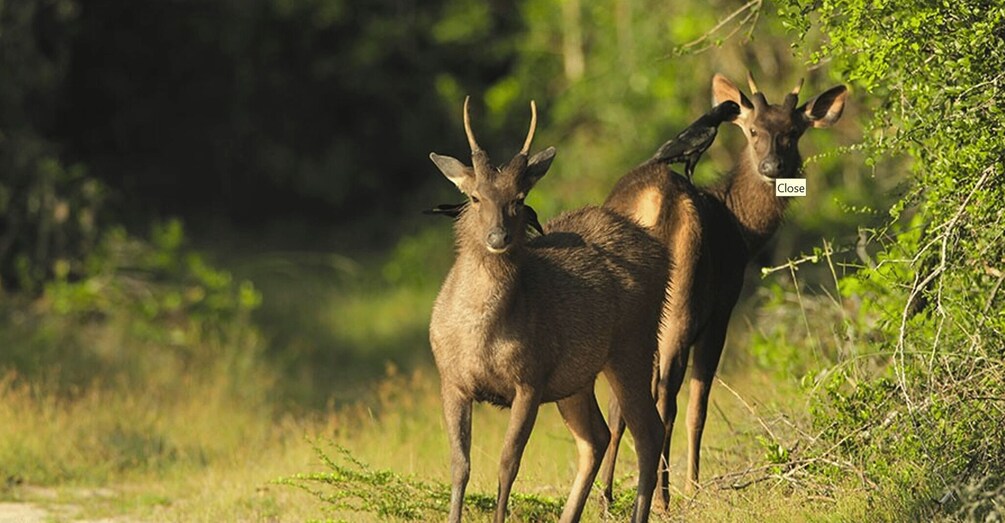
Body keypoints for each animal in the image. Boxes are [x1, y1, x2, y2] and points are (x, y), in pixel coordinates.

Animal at [428, 97, 669, 523]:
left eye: (519, 199)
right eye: (474, 197)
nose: (498, 237)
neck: (479, 336)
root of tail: (662, 253)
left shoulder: (531, 378)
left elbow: (508, 462)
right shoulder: (451, 379)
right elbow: (459, 465)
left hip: (633, 344)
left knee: (647, 432)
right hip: (577, 378)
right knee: (597, 437)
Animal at [597, 73, 848, 508]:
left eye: (793, 132)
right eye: (753, 131)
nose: (772, 167)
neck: (743, 232)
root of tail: (656, 202)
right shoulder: (722, 310)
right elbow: (700, 407)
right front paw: (693, 487)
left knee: (624, 398)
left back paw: (610, 496)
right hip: (682, 306)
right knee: (667, 398)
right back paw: (664, 497)